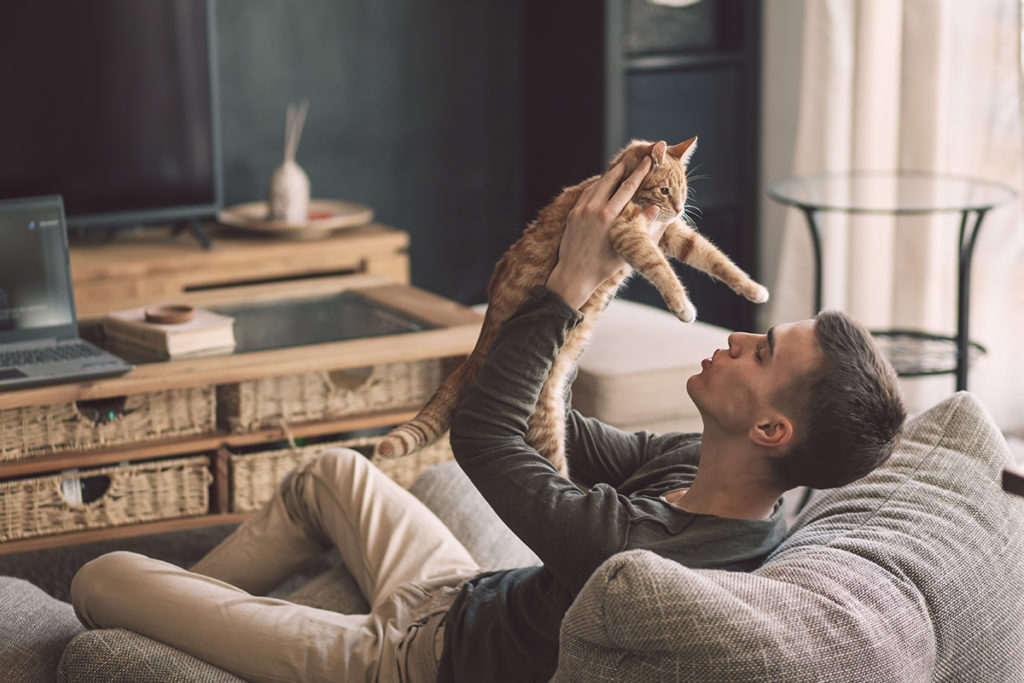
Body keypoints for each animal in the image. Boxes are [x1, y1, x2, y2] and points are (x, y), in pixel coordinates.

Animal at [376, 137, 770, 479]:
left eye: (683, 190)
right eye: (663, 190)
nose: (678, 208)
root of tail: (475, 350)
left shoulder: (671, 233)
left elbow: (715, 259)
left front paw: (754, 289)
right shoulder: (628, 234)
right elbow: (663, 270)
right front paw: (683, 306)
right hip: (545, 423)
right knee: (556, 474)